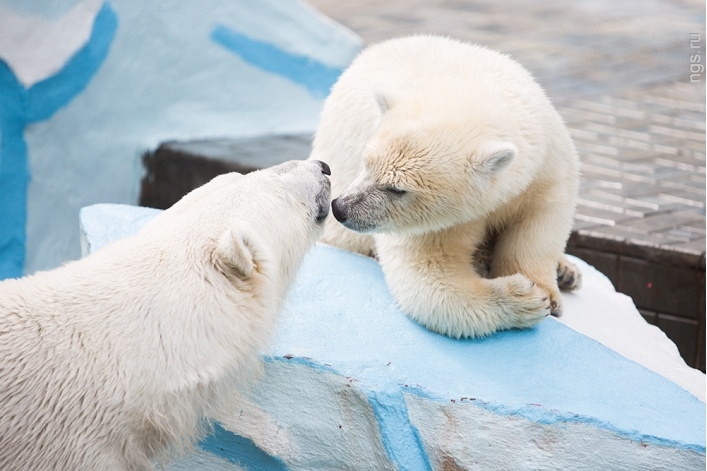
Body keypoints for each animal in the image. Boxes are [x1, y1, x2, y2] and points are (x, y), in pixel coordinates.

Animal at [312, 36, 584, 340]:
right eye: (366, 163)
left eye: (397, 189)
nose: (341, 207)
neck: (470, 86)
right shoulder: (435, 223)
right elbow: (431, 274)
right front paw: (524, 297)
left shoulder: (546, 167)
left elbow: (539, 224)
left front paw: (547, 294)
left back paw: (567, 271)